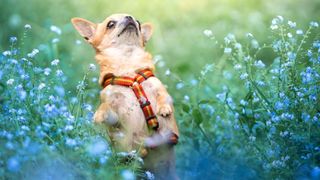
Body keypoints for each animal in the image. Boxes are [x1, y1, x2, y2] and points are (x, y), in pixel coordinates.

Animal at [71, 13, 179, 179]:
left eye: (139, 23)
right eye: (110, 24)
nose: (130, 17)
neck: (128, 69)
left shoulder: (157, 86)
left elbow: (163, 95)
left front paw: (164, 108)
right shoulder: (114, 112)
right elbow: (106, 107)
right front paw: (99, 114)